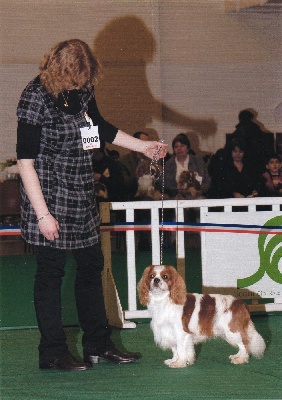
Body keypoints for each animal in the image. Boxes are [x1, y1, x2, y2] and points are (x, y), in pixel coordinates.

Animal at [138, 266, 266, 368]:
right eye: (151, 276)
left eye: (165, 276)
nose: (156, 280)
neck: (163, 300)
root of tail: (241, 303)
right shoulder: (168, 331)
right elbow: (175, 349)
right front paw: (174, 360)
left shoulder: (181, 332)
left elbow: (180, 349)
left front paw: (179, 363)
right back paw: (237, 356)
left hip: (232, 330)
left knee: (245, 344)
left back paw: (241, 359)